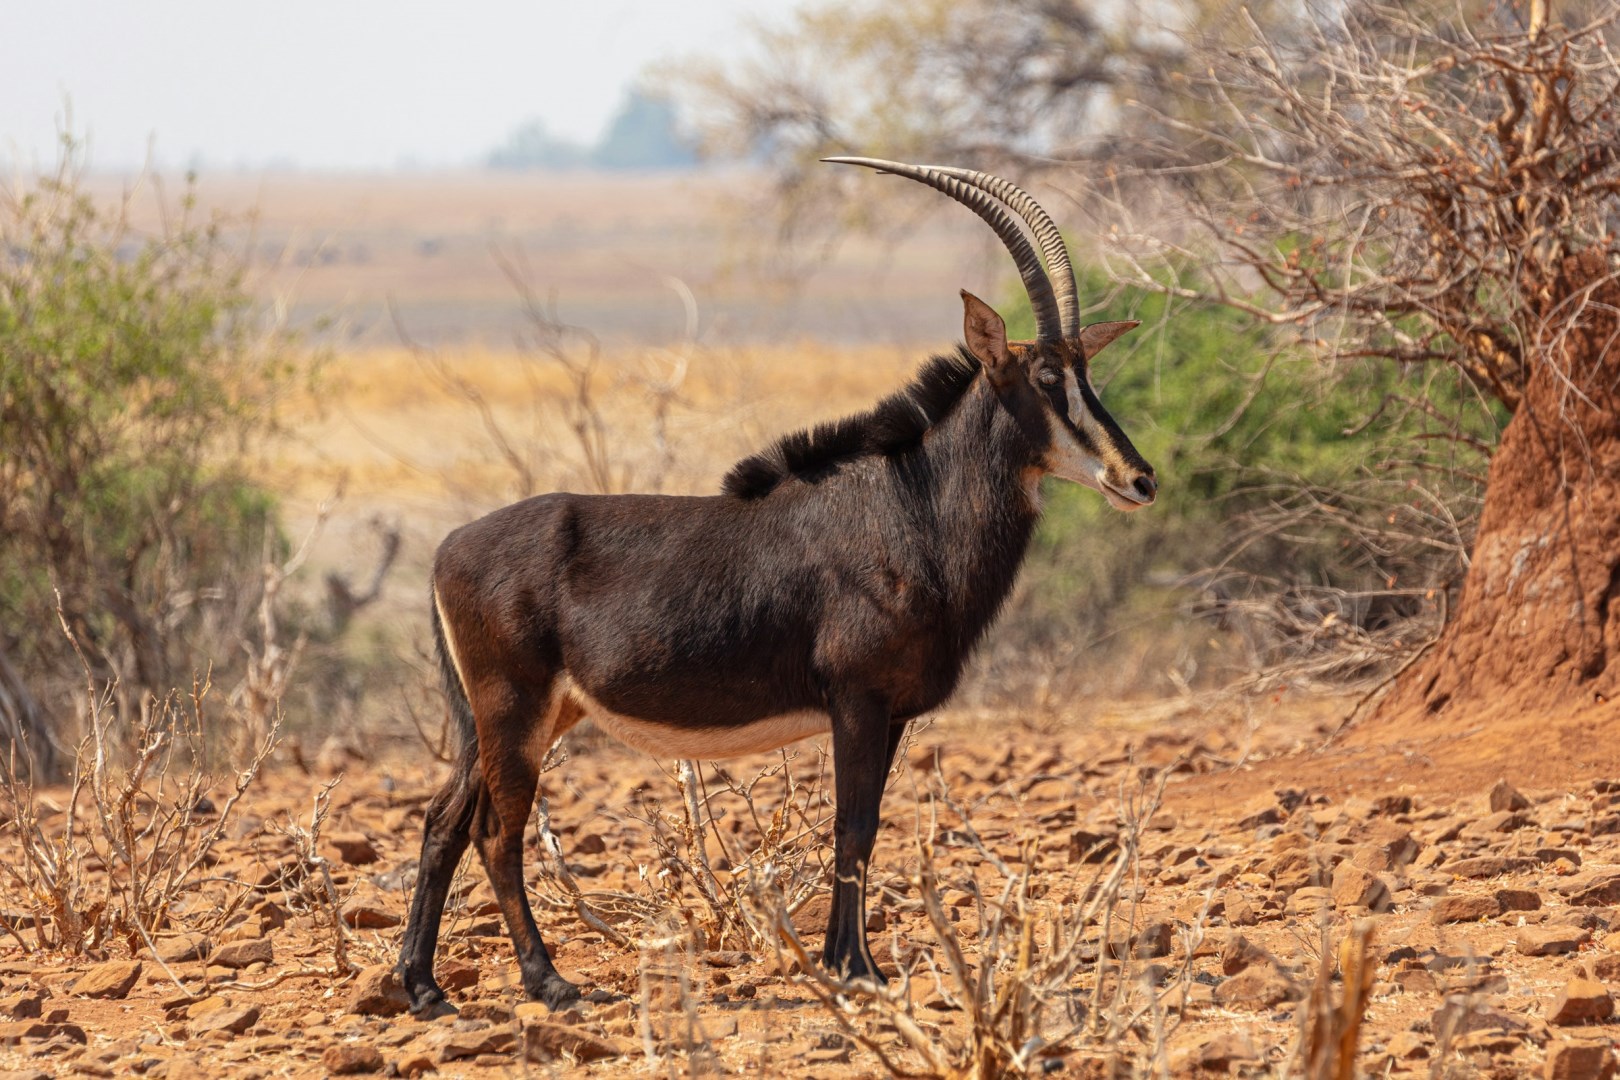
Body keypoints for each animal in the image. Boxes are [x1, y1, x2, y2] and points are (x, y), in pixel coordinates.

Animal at [396, 158, 1158, 1016]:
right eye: (1046, 376)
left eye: (1088, 372)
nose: (1139, 478)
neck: (909, 507)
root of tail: (448, 549)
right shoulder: (856, 700)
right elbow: (852, 826)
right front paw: (854, 968)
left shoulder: (891, 713)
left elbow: (866, 825)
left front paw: (850, 961)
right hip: (514, 710)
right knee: (496, 833)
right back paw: (548, 981)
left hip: (510, 719)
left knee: (443, 821)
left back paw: (424, 986)